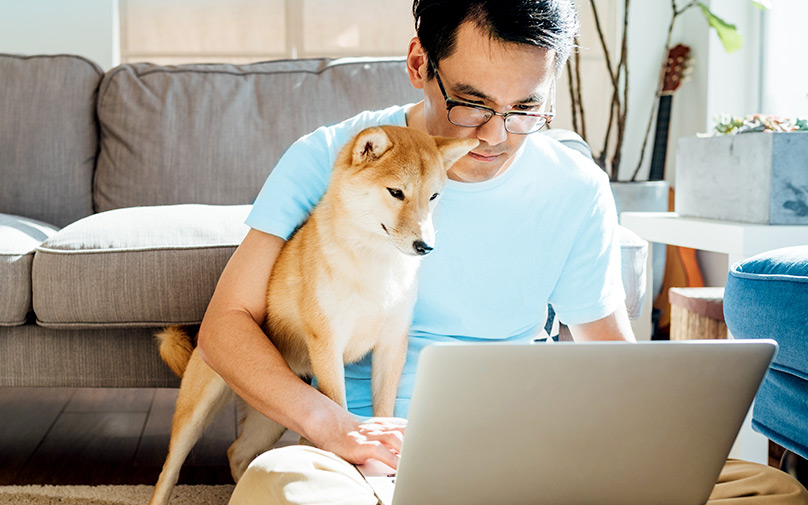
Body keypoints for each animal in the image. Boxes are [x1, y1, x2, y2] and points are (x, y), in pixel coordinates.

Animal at [148, 125, 476, 504]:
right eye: (396, 192)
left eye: (433, 196)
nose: (426, 246)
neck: (374, 264)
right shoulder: (328, 343)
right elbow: (339, 406)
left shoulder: (391, 345)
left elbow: (384, 408)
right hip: (202, 407)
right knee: (170, 469)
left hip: (276, 411)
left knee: (238, 452)